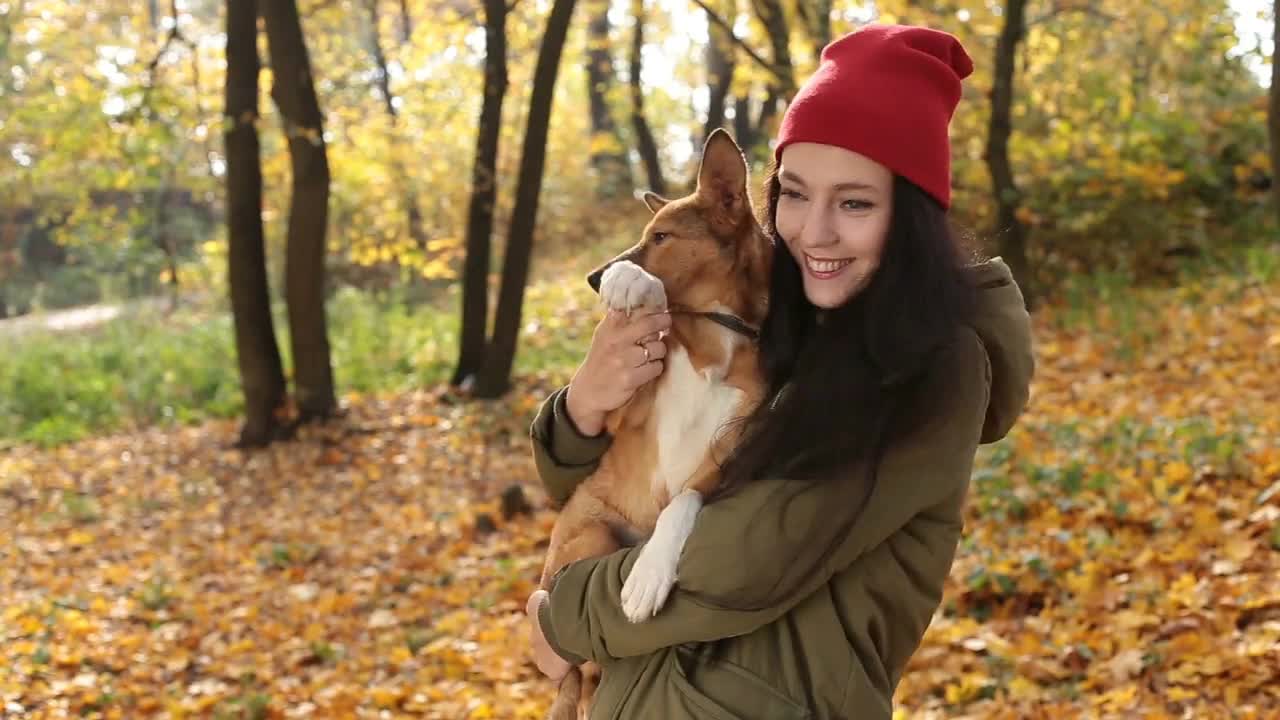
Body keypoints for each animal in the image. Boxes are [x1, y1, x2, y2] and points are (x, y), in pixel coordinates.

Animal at [537, 130, 768, 717]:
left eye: (662, 236)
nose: (593, 276)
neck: (719, 333)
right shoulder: (625, 402)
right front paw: (630, 284)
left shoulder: (729, 452)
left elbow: (682, 503)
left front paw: (648, 576)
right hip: (591, 537)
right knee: (582, 670)